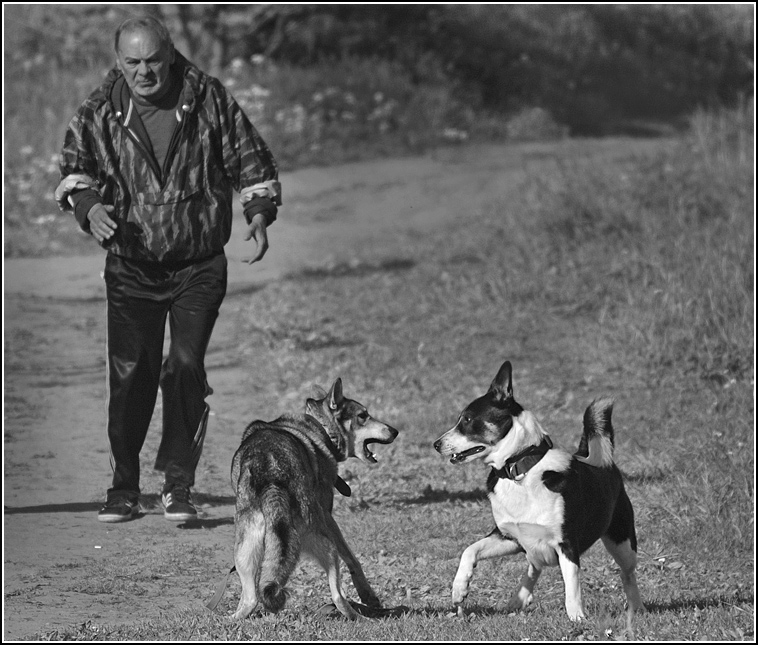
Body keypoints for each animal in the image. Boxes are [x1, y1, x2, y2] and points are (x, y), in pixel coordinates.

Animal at [230, 378, 398, 620]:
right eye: (363, 415)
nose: (395, 431)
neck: (322, 427)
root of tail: (272, 476)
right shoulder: (329, 518)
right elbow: (353, 559)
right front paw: (368, 595)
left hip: (243, 551)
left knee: (251, 599)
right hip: (326, 545)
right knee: (338, 596)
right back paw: (360, 617)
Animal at [436, 362, 644, 620]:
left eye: (467, 419)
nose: (436, 444)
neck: (519, 471)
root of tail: (604, 462)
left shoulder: (567, 545)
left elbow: (572, 586)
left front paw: (577, 618)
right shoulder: (508, 537)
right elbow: (469, 550)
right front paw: (459, 588)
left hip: (622, 542)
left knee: (627, 575)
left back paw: (637, 608)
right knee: (534, 567)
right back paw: (518, 599)